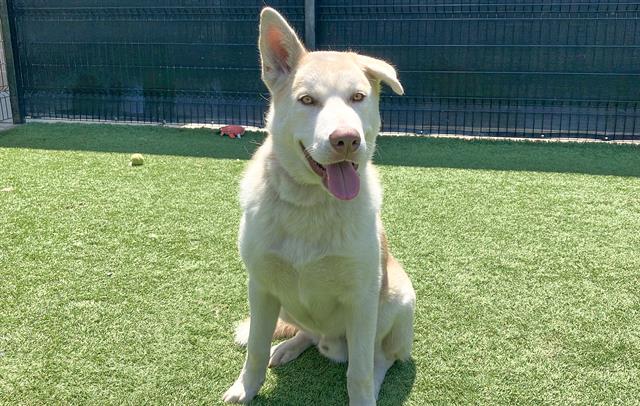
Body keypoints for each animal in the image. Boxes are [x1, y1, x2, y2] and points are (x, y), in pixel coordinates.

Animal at [222, 7, 418, 406]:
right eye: (307, 100)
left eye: (358, 97)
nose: (346, 139)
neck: (309, 204)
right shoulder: (260, 286)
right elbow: (256, 350)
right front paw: (246, 388)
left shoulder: (362, 298)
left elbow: (358, 372)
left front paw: (363, 397)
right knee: (306, 334)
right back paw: (287, 347)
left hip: (398, 299)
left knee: (382, 357)